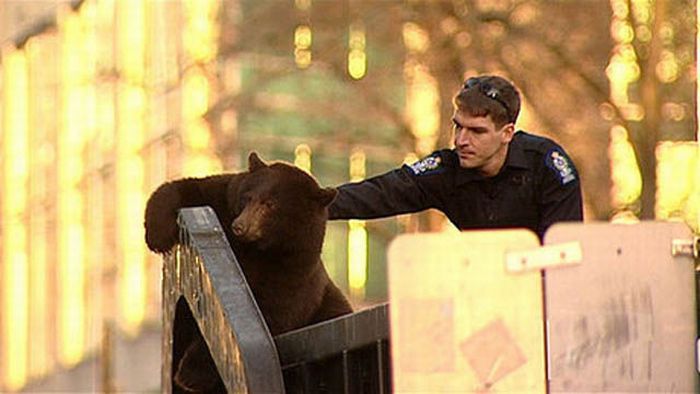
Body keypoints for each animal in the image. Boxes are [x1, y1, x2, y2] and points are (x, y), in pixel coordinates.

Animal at [145, 151, 352, 390]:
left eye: (270, 204)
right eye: (248, 197)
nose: (240, 226)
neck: (260, 248)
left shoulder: (294, 269)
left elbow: (267, 311)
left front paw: (190, 373)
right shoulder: (223, 202)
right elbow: (187, 189)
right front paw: (157, 236)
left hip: (327, 307)